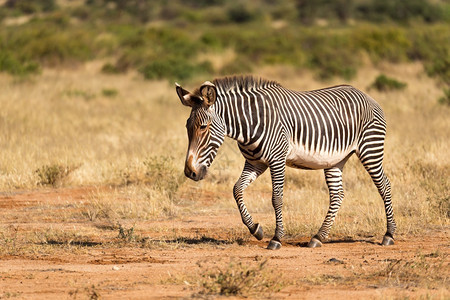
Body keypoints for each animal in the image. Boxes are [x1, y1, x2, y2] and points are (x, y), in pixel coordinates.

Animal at [176, 76, 398, 250]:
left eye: (203, 127)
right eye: (187, 126)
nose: (190, 172)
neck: (250, 123)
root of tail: (366, 95)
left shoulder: (277, 160)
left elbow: (277, 198)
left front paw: (276, 239)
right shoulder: (255, 163)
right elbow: (237, 189)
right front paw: (255, 229)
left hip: (370, 148)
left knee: (384, 186)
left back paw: (389, 235)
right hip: (336, 160)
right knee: (337, 195)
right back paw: (318, 237)